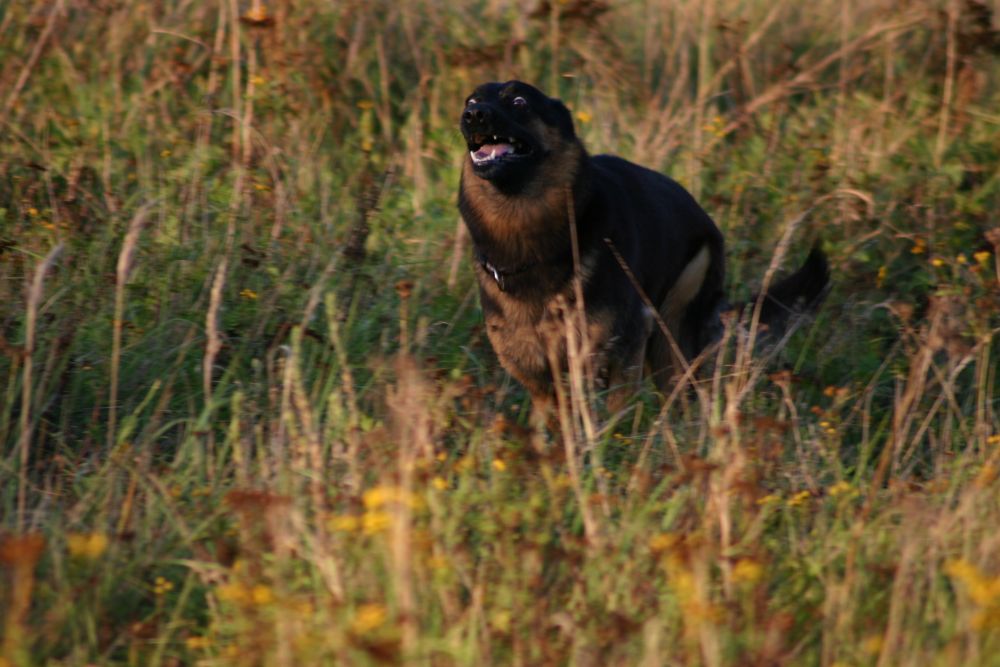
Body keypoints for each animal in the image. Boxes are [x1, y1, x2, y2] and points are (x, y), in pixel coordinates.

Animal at [458, 81, 828, 418]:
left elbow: (613, 413)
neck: (526, 234)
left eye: (519, 101)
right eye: (472, 100)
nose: (473, 115)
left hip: (674, 333)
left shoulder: (622, 344)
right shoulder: (533, 368)